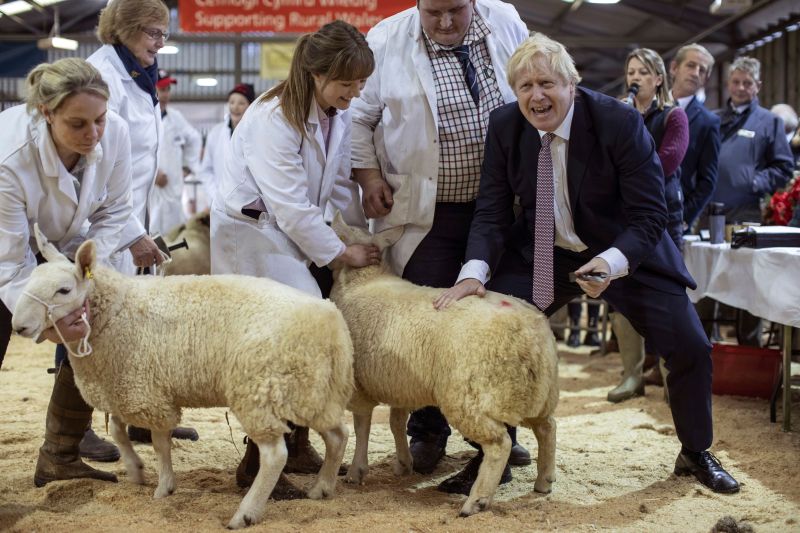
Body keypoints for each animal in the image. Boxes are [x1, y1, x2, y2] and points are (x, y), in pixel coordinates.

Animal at [10, 225, 354, 528]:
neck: (116, 310)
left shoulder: (147, 392)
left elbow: (159, 443)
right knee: (338, 434)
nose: (19, 326)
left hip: (259, 391)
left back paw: (245, 514)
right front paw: (136, 470)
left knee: (275, 455)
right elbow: (120, 431)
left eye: (64, 289)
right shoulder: (130, 386)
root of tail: (329, 320)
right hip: (310, 392)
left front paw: (164, 487)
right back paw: (321, 488)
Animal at [328, 214, 560, 516]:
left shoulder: (360, 383)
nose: (328, 221)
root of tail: (530, 332)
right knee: (548, 428)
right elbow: (395, 422)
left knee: (500, 444)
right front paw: (404, 463)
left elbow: (362, 426)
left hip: (471, 397)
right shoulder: (401, 382)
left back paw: (476, 500)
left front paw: (356, 471)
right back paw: (544, 481)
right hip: (537, 392)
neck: (364, 279)